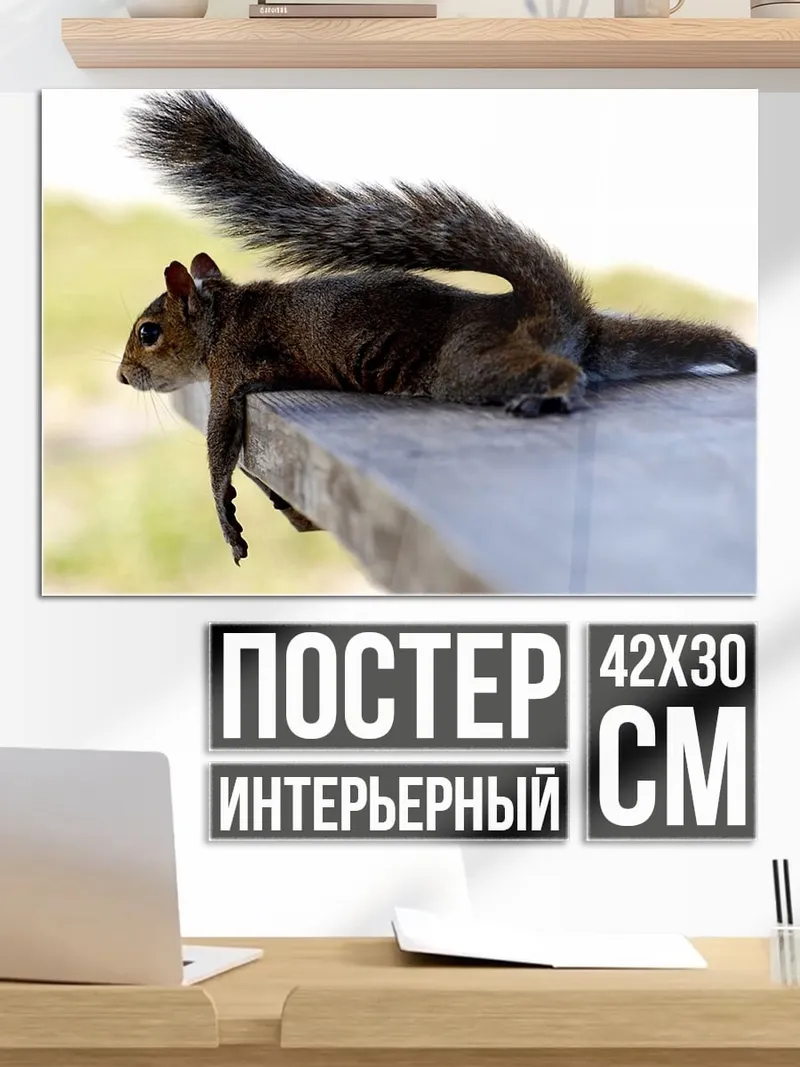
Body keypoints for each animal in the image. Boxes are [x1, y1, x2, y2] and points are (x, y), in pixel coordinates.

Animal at [116, 90, 756, 566]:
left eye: (148, 332)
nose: (122, 378)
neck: (222, 315)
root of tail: (545, 307)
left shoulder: (232, 369)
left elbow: (219, 446)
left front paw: (227, 519)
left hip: (467, 363)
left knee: (555, 369)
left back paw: (552, 393)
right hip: (613, 343)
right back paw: (736, 352)